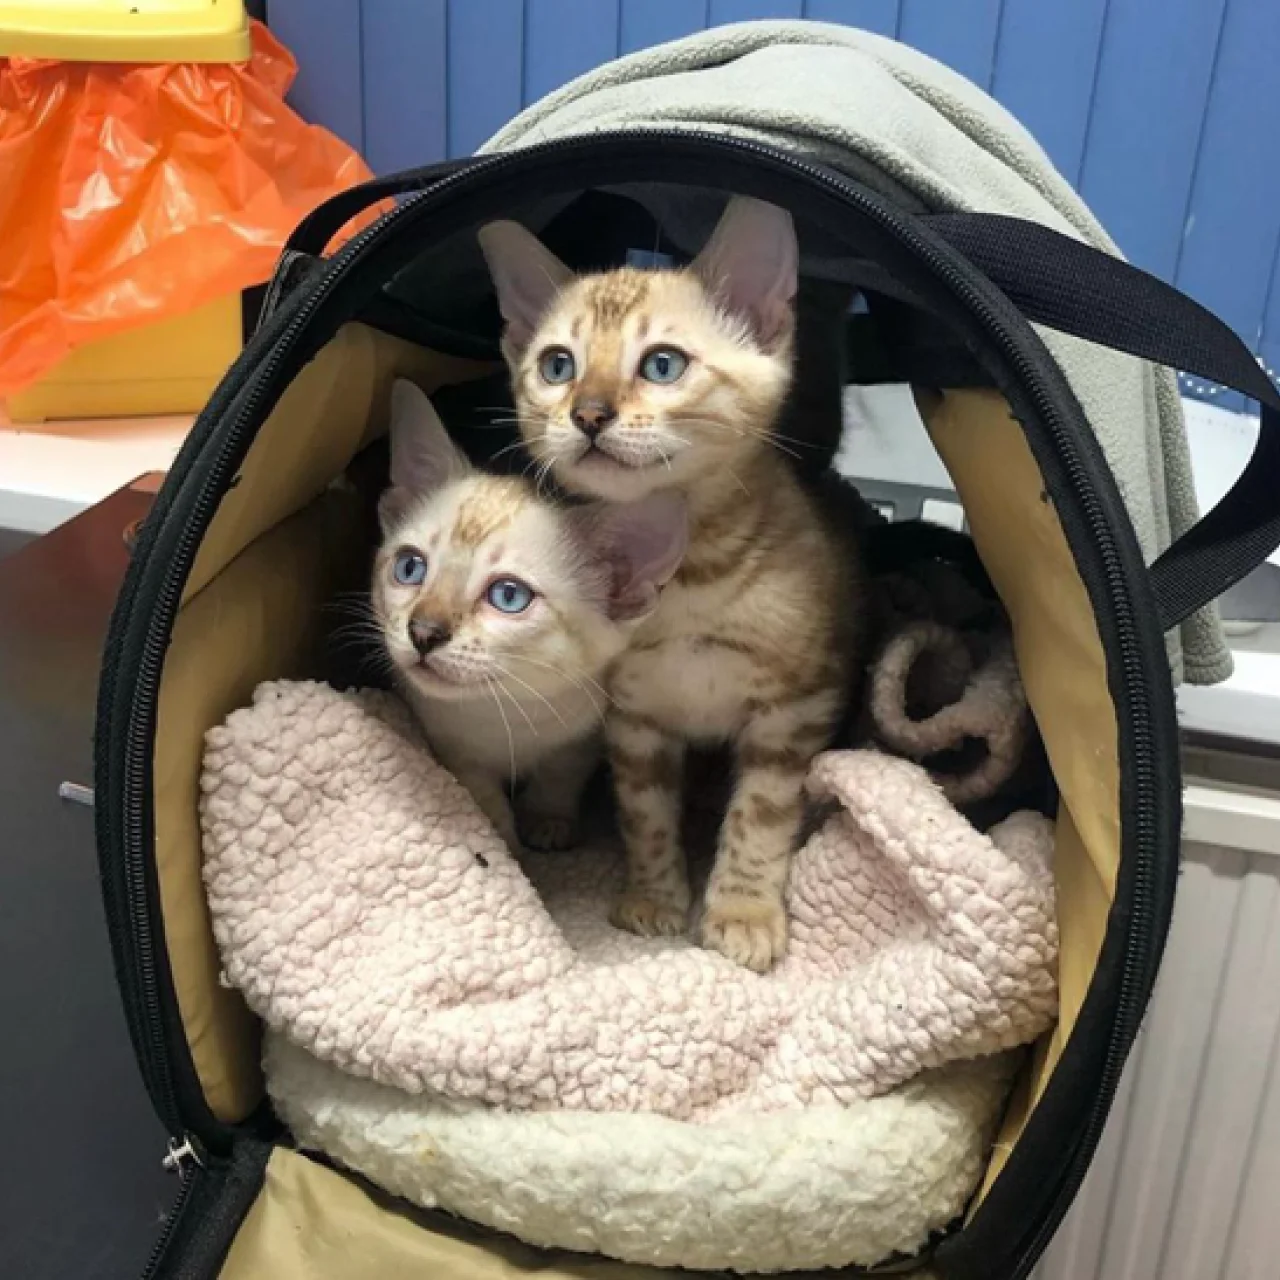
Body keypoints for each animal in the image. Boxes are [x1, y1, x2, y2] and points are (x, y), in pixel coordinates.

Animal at [373, 384, 686, 855]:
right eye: (410, 567)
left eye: (509, 596)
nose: (423, 632)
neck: (504, 713)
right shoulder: (449, 745)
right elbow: (481, 796)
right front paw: (504, 845)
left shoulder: (583, 732)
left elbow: (560, 773)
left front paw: (547, 819)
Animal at [481, 194, 870, 962]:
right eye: (558, 365)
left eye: (663, 365)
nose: (588, 413)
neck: (688, 581)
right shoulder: (634, 720)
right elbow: (646, 815)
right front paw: (656, 897)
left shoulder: (796, 707)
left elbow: (761, 815)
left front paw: (743, 911)